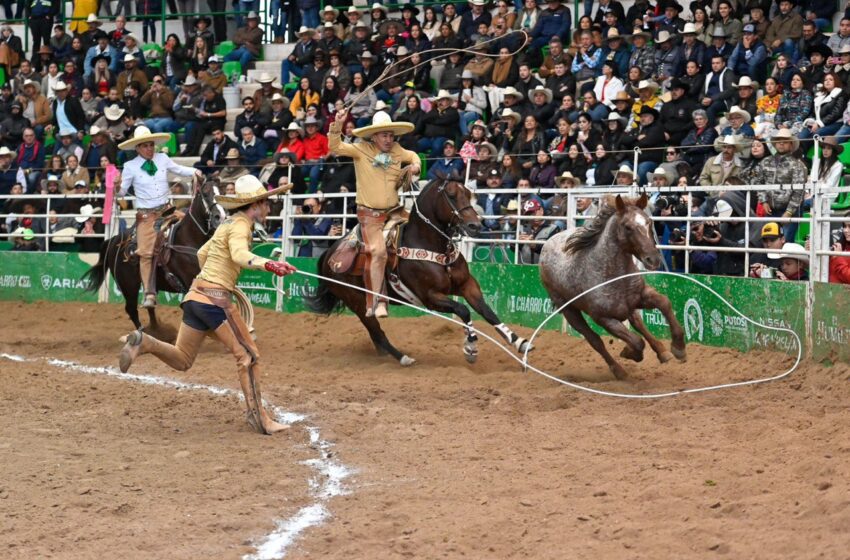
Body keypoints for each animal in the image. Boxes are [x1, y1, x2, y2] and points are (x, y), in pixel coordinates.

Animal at [80, 178, 224, 332]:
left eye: (223, 193)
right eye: (205, 194)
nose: (220, 217)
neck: (188, 239)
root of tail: (114, 239)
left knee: (150, 307)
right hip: (128, 285)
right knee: (131, 309)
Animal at [304, 177, 528, 366]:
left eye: (468, 194)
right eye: (452, 195)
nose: (474, 225)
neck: (434, 247)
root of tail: (330, 253)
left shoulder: (467, 284)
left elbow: (487, 311)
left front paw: (518, 341)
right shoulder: (430, 297)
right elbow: (463, 310)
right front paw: (470, 347)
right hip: (358, 303)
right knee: (377, 332)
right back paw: (403, 358)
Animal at [540, 195, 684, 378]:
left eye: (649, 222)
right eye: (627, 227)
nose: (653, 259)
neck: (611, 274)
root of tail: (547, 245)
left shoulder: (642, 295)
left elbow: (664, 303)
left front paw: (678, 348)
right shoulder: (603, 318)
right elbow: (636, 341)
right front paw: (629, 353)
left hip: (628, 307)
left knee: (638, 323)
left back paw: (662, 351)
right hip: (568, 310)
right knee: (595, 340)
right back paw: (619, 371)